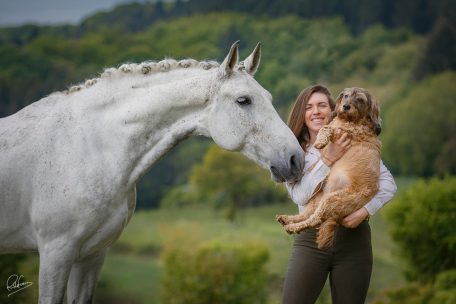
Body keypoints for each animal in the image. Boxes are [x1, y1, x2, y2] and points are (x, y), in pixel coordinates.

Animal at [1, 41, 304, 302]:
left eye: (268, 97)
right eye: (244, 100)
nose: (295, 159)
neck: (90, 146)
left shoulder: (91, 255)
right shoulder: (56, 253)